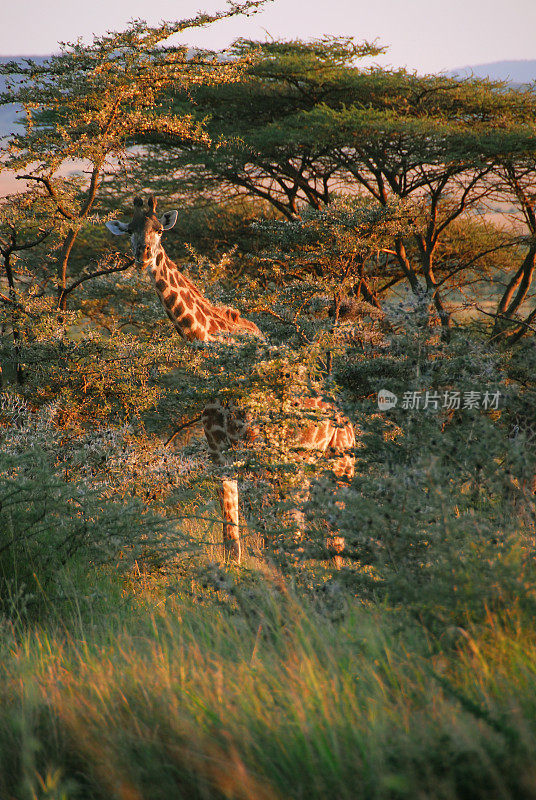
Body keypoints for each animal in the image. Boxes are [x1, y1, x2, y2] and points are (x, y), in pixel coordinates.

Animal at [106, 197, 354, 564]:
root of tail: (347, 422)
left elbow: (268, 531)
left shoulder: (254, 448)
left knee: (327, 533)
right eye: (130, 230)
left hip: (338, 468)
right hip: (306, 469)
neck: (214, 346)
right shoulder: (219, 453)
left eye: (159, 230)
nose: (143, 256)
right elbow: (231, 536)